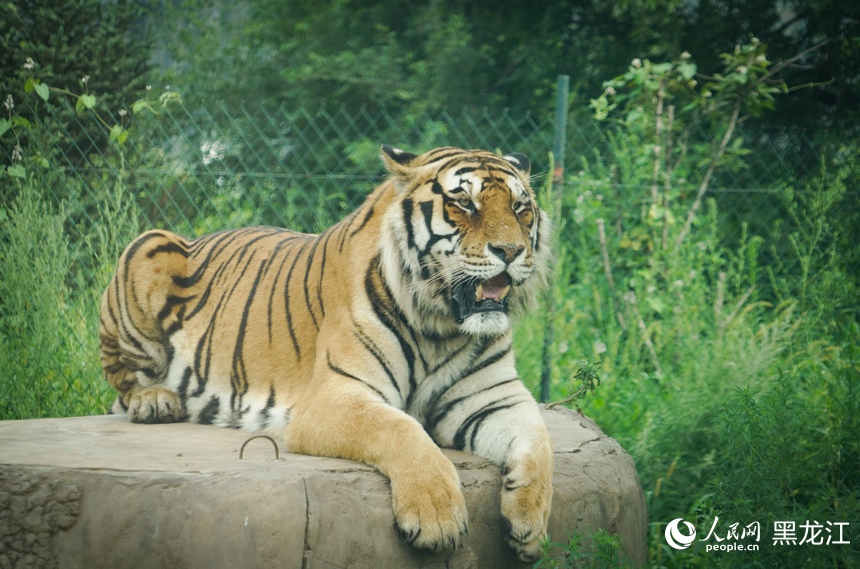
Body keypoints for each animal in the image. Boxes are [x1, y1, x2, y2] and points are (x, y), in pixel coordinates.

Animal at [101, 144, 556, 560]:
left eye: (520, 208)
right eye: (464, 203)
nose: (511, 251)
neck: (441, 326)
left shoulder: (490, 397)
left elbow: (539, 441)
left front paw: (529, 523)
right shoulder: (336, 395)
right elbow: (401, 428)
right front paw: (436, 514)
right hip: (147, 247)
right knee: (124, 381)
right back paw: (155, 402)